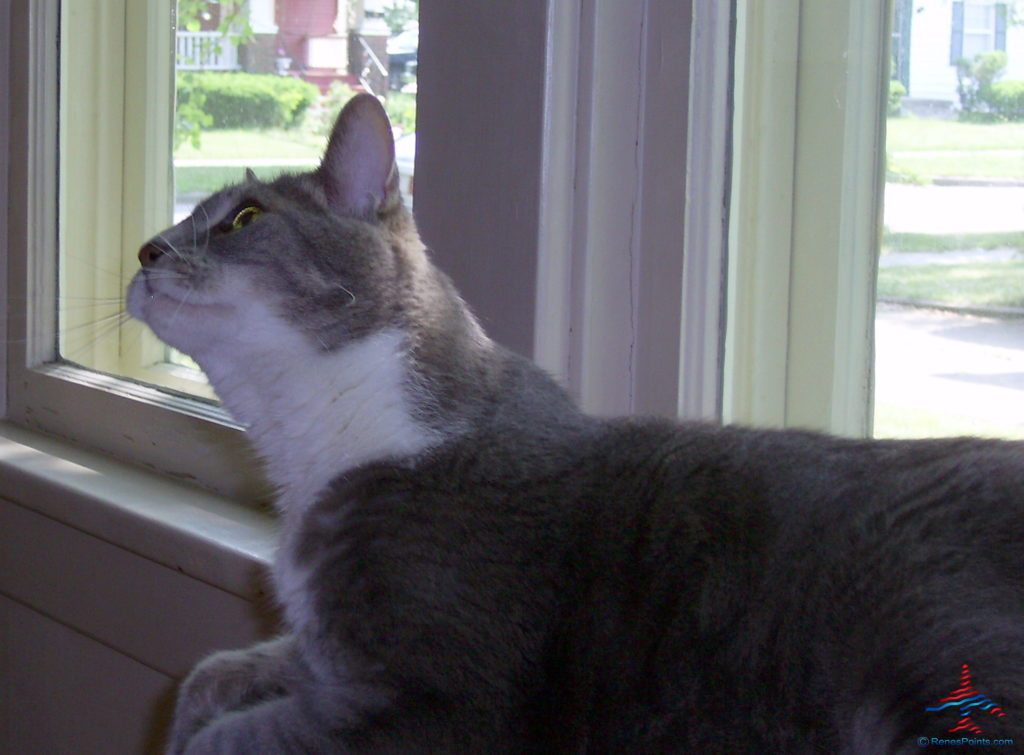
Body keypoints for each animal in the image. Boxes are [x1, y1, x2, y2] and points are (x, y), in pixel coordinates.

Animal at [128, 95, 1024, 753]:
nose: (144, 250)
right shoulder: (321, 660)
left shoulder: (437, 695)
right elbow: (210, 674)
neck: (320, 450)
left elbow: (237, 736)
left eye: (244, 218)